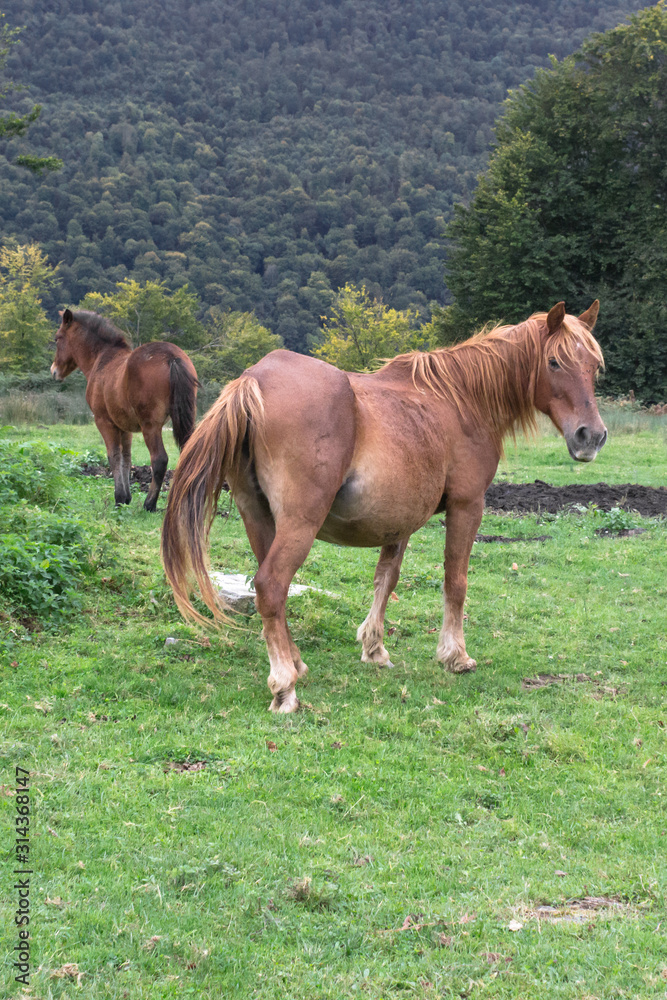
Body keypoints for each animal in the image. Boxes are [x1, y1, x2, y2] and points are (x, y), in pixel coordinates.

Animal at [51, 308, 199, 511]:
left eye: (57, 338)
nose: (54, 371)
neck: (102, 360)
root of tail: (171, 357)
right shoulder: (125, 427)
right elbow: (127, 458)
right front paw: (126, 497)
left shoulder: (104, 422)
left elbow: (113, 456)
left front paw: (119, 498)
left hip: (150, 426)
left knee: (159, 459)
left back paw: (149, 504)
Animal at [161, 301, 606, 712]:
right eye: (554, 361)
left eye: (593, 367)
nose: (592, 436)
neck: (461, 400)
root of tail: (253, 379)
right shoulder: (467, 506)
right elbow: (456, 582)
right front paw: (455, 655)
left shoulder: (399, 521)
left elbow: (385, 580)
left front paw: (374, 648)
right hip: (299, 523)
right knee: (271, 585)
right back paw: (285, 685)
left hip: (258, 517)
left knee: (271, 589)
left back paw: (296, 662)